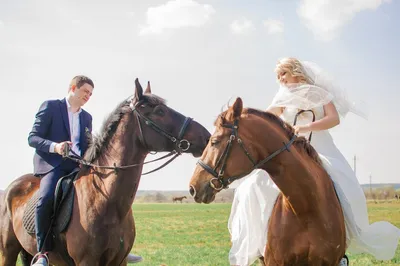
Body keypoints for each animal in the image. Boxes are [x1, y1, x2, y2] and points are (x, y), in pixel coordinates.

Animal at [0, 79, 212, 266]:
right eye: (160, 111)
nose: (206, 137)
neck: (107, 200)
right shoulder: (86, 261)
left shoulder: (119, 260)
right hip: (8, 252)